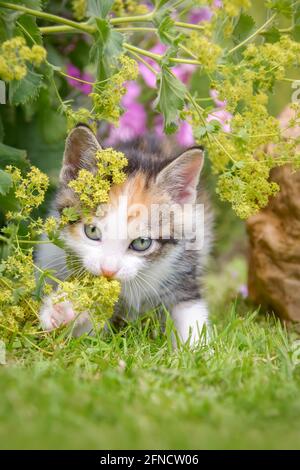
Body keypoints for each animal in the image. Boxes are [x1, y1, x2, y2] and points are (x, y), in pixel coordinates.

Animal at [37, 125, 213, 346]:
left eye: (142, 243)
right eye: (92, 231)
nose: (108, 271)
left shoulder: (182, 267)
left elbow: (191, 315)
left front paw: (198, 350)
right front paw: (64, 309)